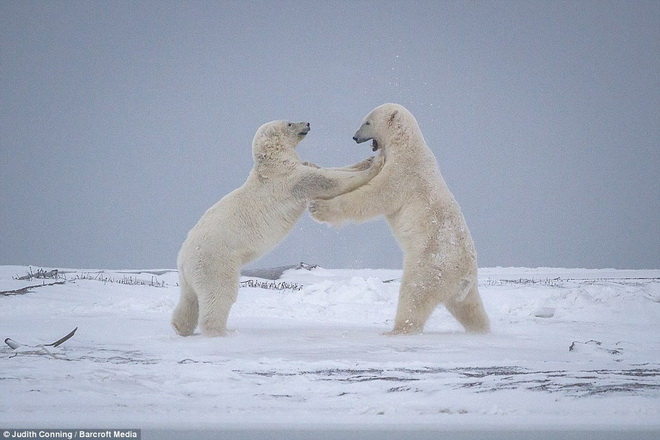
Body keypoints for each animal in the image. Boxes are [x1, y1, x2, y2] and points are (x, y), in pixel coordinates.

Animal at [173, 118, 384, 336]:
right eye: (290, 123)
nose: (307, 123)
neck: (273, 164)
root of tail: (183, 259)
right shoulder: (291, 180)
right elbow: (328, 180)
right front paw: (376, 164)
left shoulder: (295, 168)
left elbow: (327, 168)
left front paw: (366, 160)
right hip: (216, 261)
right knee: (219, 294)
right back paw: (220, 331)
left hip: (191, 274)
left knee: (189, 299)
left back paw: (180, 327)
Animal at [310, 105, 490, 336]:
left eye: (367, 122)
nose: (355, 137)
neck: (407, 145)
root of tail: (464, 278)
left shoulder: (403, 174)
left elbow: (373, 197)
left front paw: (317, 208)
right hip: (464, 288)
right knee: (471, 309)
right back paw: (482, 330)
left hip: (430, 265)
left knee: (414, 294)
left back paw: (396, 330)